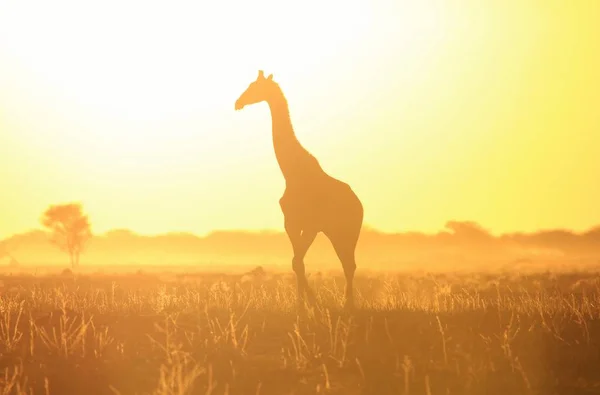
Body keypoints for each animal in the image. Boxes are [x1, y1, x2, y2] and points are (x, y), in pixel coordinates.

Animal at [237, 71, 364, 310]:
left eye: (255, 86)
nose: (237, 103)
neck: (291, 172)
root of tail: (359, 204)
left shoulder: (311, 225)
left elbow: (298, 261)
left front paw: (313, 302)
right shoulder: (291, 223)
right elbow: (297, 262)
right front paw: (301, 304)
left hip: (347, 231)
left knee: (349, 264)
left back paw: (348, 304)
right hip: (335, 232)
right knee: (348, 263)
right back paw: (346, 302)